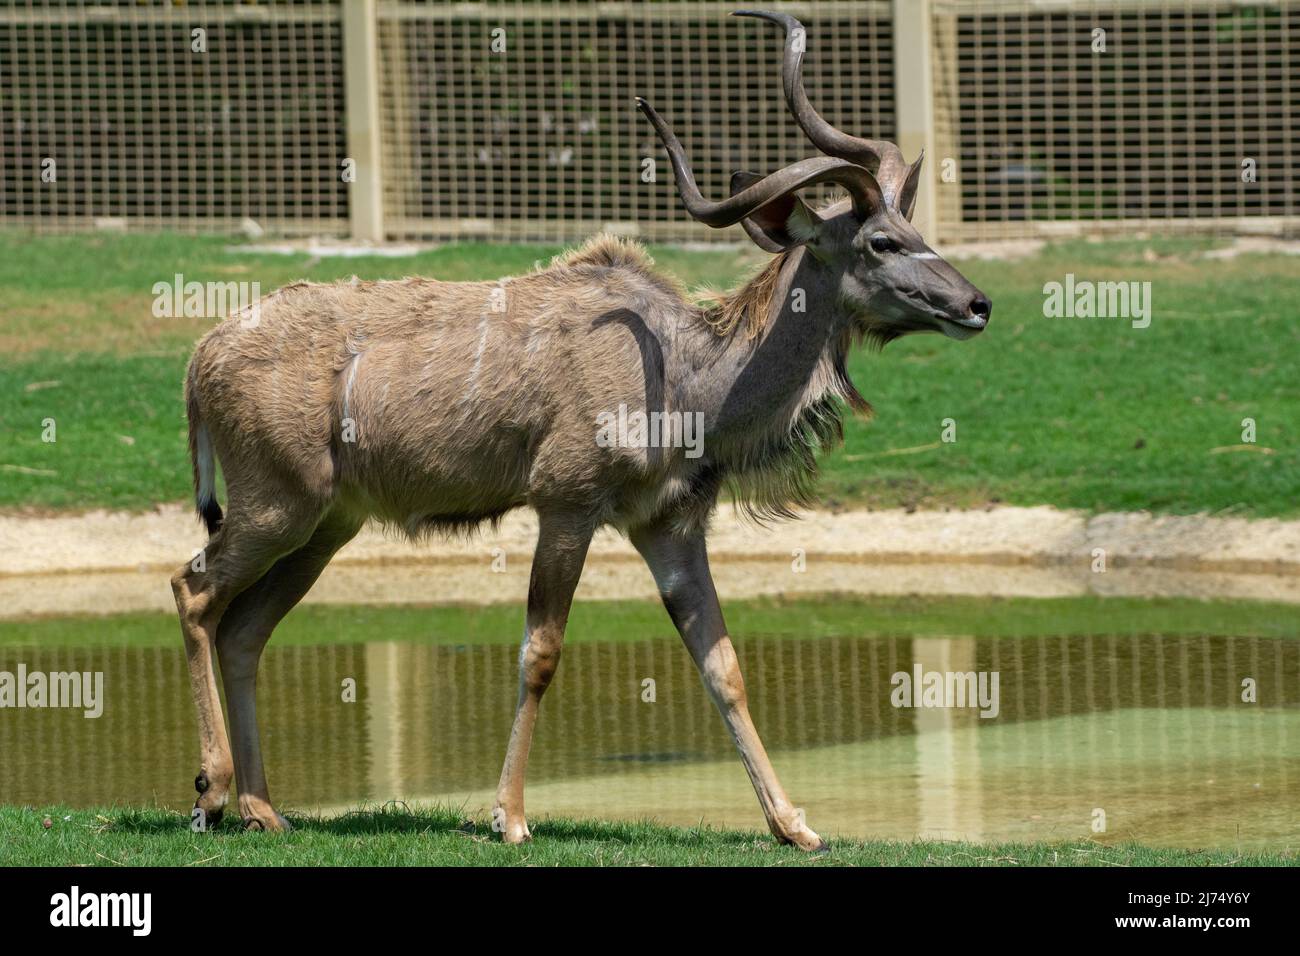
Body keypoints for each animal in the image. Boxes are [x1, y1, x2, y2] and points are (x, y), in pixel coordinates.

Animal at [170, 11, 982, 848]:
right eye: (881, 242)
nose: (976, 304)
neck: (684, 373)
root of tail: (204, 356)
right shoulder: (567, 504)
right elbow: (542, 651)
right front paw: (510, 817)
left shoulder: (667, 525)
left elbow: (721, 663)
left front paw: (793, 825)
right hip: (276, 507)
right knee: (194, 591)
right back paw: (210, 792)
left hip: (326, 525)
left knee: (244, 628)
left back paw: (263, 808)